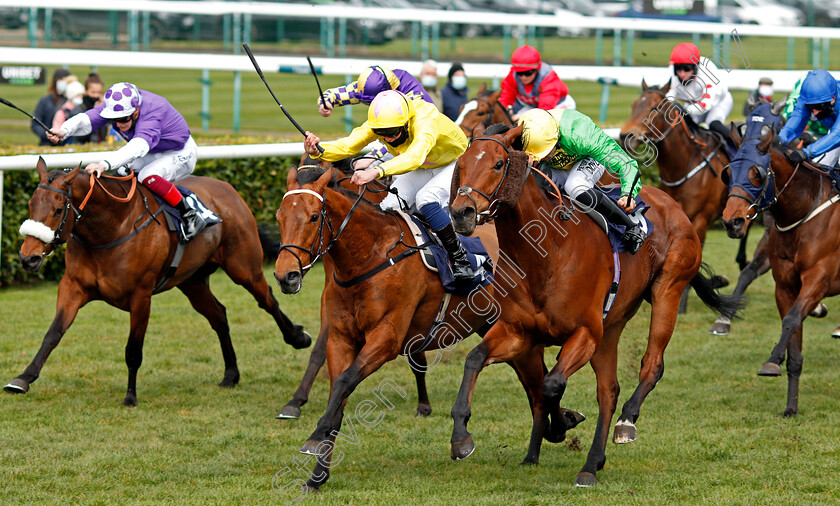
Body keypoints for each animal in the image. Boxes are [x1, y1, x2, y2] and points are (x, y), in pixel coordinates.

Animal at [9, 158, 312, 408]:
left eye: (58, 209)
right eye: (30, 205)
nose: (28, 258)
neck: (110, 229)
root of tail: (228, 189)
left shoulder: (140, 296)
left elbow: (133, 349)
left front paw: (130, 396)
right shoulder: (73, 287)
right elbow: (53, 333)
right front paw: (23, 378)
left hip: (244, 268)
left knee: (267, 300)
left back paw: (297, 337)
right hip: (192, 282)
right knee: (219, 315)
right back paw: (231, 374)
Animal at [446, 122, 740, 486]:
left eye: (498, 164)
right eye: (461, 164)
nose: (461, 212)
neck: (545, 252)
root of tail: (671, 203)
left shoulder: (584, 332)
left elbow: (551, 384)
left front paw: (562, 424)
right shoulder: (519, 332)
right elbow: (476, 360)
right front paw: (461, 436)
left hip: (667, 290)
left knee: (651, 365)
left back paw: (625, 424)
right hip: (611, 328)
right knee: (608, 391)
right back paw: (590, 463)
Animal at [720, 122, 840, 416]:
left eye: (757, 174)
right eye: (727, 172)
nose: (732, 222)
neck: (802, 213)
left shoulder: (818, 279)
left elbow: (792, 319)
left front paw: (772, 358)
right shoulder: (785, 286)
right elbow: (794, 340)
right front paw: (791, 407)